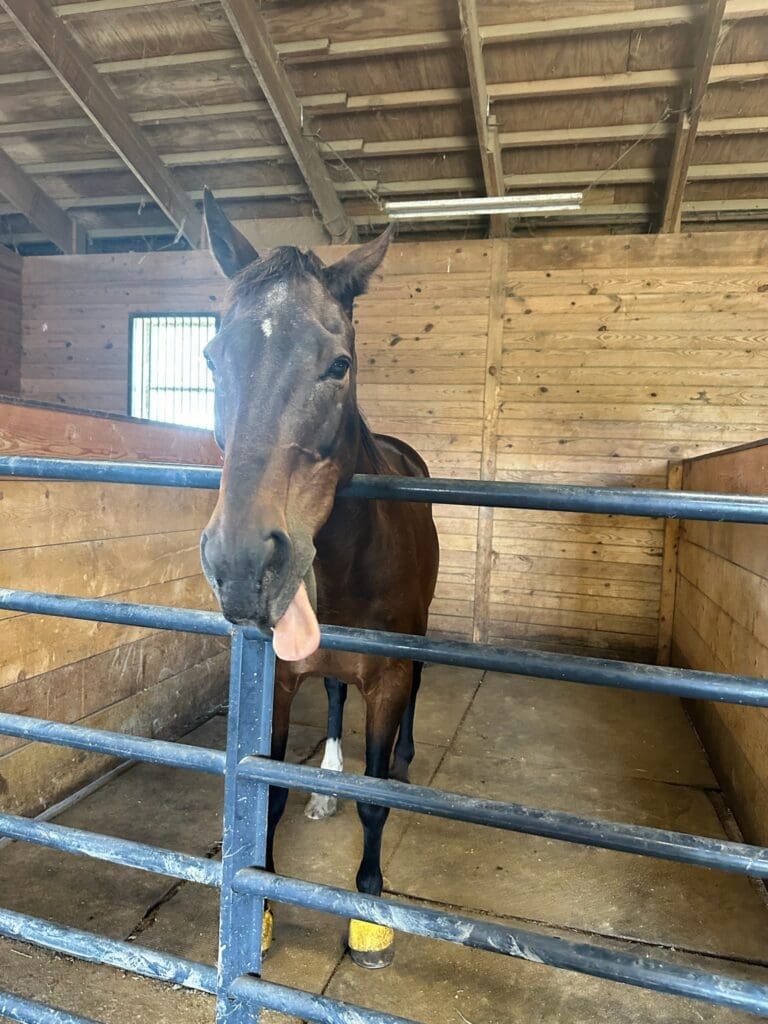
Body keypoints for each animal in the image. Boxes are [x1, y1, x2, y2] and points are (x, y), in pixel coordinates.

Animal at [199, 189, 439, 968]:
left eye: (338, 364)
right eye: (212, 356)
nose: (242, 564)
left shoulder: (388, 679)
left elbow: (376, 801)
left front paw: (368, 916)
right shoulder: (277, 678)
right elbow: (267, 794)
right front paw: (264, 912)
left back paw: (403, 759)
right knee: (333, 694)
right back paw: (327, 777)